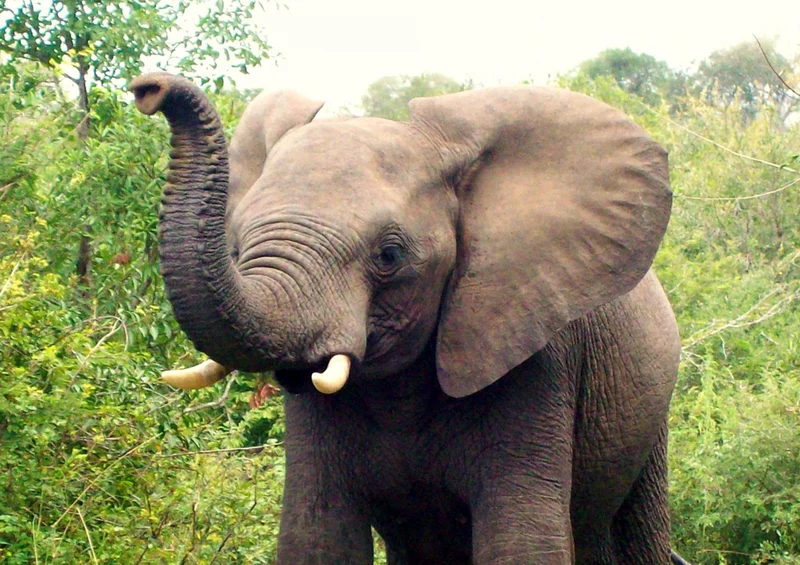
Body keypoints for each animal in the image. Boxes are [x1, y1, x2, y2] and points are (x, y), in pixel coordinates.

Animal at [130, 72, 684, 564]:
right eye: (236, 246)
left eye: (389, 255)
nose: (147, 89)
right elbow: (317, 538)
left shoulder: (538, 358)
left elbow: (522, 542)